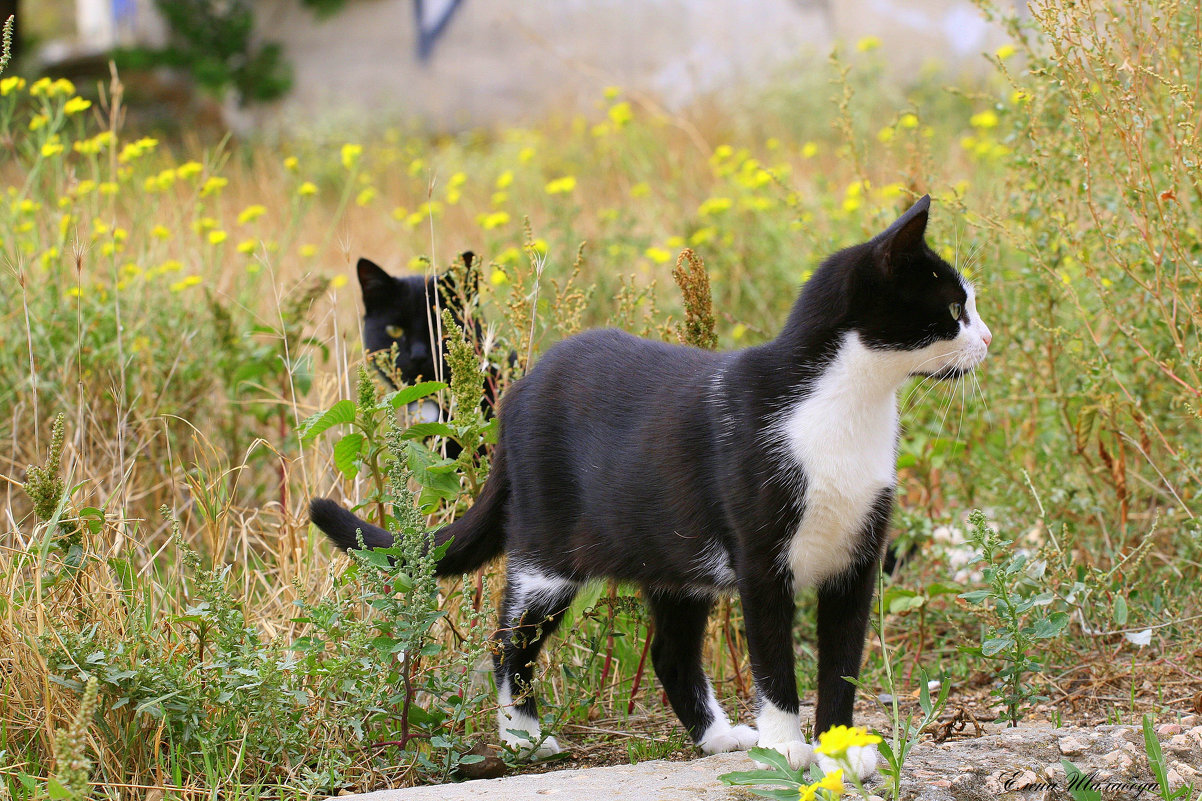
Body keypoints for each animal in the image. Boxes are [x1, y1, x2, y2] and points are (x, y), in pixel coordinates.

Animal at [312, 196, 995, 774]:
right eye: (953, 310)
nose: (987, 339)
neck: (846, 409)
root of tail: (517, 393)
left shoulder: (857, 559)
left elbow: (843, 666)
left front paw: (840, 751)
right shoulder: (761, 559)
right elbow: (775, 663)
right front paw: (783, 748)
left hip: (675, 553)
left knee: (668, 651)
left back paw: (717, 737)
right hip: (550, 552)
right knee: (510, 640)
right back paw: (523, 737)